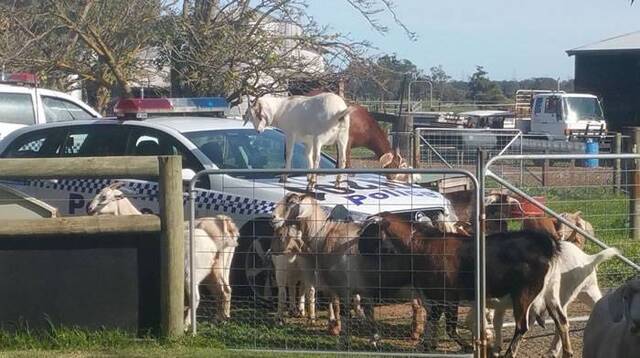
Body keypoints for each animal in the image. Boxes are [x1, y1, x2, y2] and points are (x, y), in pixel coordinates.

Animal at [87, 183, 240, 326]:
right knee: (224, 290)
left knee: (202, 295)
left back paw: (188, 323)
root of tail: (225, 223)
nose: (89, 209)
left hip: (198, 270)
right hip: (218, 269)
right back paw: (221, 318)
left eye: (104, 197)